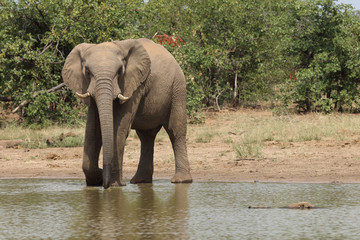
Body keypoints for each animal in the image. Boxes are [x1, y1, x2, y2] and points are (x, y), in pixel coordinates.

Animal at [62, 38, 191, 188]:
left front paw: (114, 185)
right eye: (87, 72)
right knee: (146, 136)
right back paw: (140, 181)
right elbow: (92, 130)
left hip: (178, 88)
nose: (104, 183)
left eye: (119, 72)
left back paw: (181, 181)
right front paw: (97, 179)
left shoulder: (134, 86)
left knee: (175, 132)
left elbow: (119, 128)